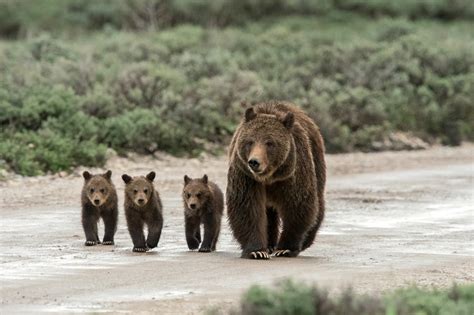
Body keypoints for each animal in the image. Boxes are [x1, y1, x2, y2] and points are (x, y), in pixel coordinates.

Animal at [227, 101, 326, 260]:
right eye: (250, 141)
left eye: (270, 143)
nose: (254, 162)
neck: (269, 177)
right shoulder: (246, 176)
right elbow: (247, 208)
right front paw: (257, 251)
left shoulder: (292, 173)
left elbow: (298, 206)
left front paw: (285, 249)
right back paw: (269, 245)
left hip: (316, 160)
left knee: (318, 202)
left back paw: (306, 241)